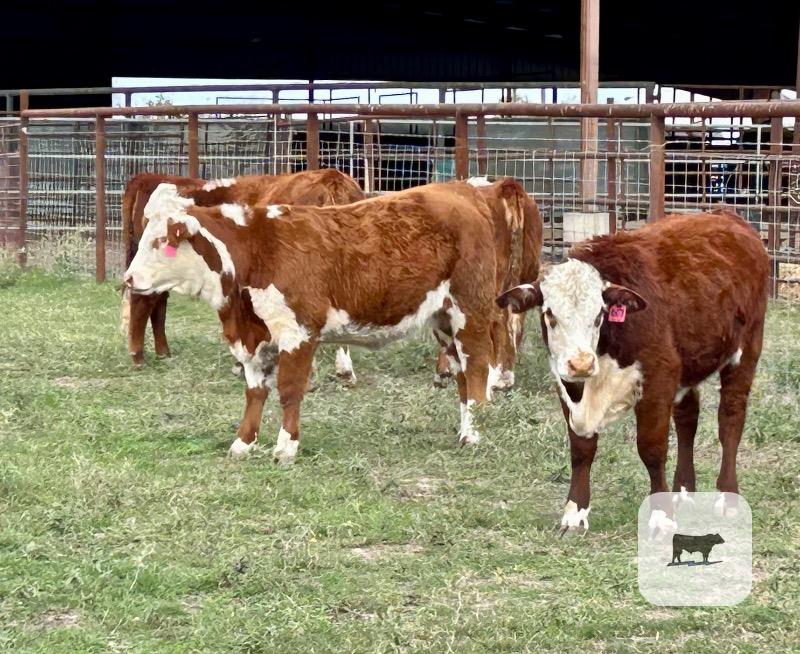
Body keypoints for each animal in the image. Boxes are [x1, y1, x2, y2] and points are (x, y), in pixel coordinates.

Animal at [496, 211, 769, 532]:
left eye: (599, 314)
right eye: (549, 314)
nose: (581, 363)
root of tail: (726, 215)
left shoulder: (658, 378)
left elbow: (651, 449)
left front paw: (662, 514)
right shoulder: (567, 384)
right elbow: (581, 448)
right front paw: (575, 511)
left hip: (747, 348)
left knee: (730, 420)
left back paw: (728, 497)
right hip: (688, 363)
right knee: (687, 419)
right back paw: (683, 491)